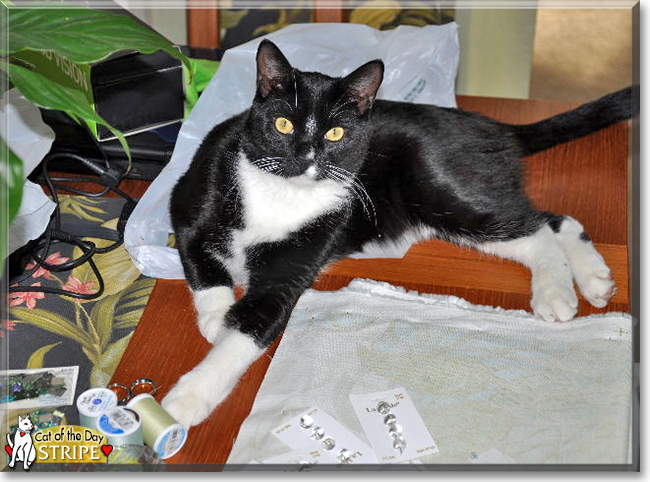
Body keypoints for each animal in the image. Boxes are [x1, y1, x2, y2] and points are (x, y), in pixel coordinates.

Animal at [162, 39, 632, 428]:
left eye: (335, 132)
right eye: (282, 125)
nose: (307, 155)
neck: (282, 193)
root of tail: (491, 127)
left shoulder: (291, 270)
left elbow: (251, 326)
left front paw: (187, 398)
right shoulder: (189, 198)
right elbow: (200, 260)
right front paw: (217, 315)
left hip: (442, 189)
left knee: (534, 228)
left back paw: (557, 293)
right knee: (552, 219)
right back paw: (594, 279)